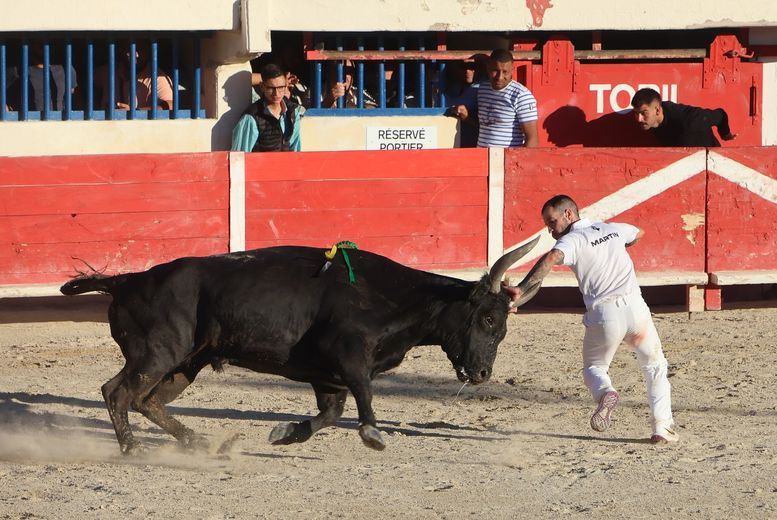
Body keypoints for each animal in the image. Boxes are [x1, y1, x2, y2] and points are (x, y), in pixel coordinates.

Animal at [60, 240, 536, 456]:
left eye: (503, 328)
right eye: (488, 319)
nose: (482, 374)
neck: (399, 298)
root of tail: (128, 279)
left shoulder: (328, 378)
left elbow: (330, 414)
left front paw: (285, 433)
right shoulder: (349, 353)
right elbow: (363, 393)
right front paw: (373, 433)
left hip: (184, 363)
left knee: (148, 400)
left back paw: (202, 441)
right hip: (157, 353)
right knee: (118, 392)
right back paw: (134, 449)